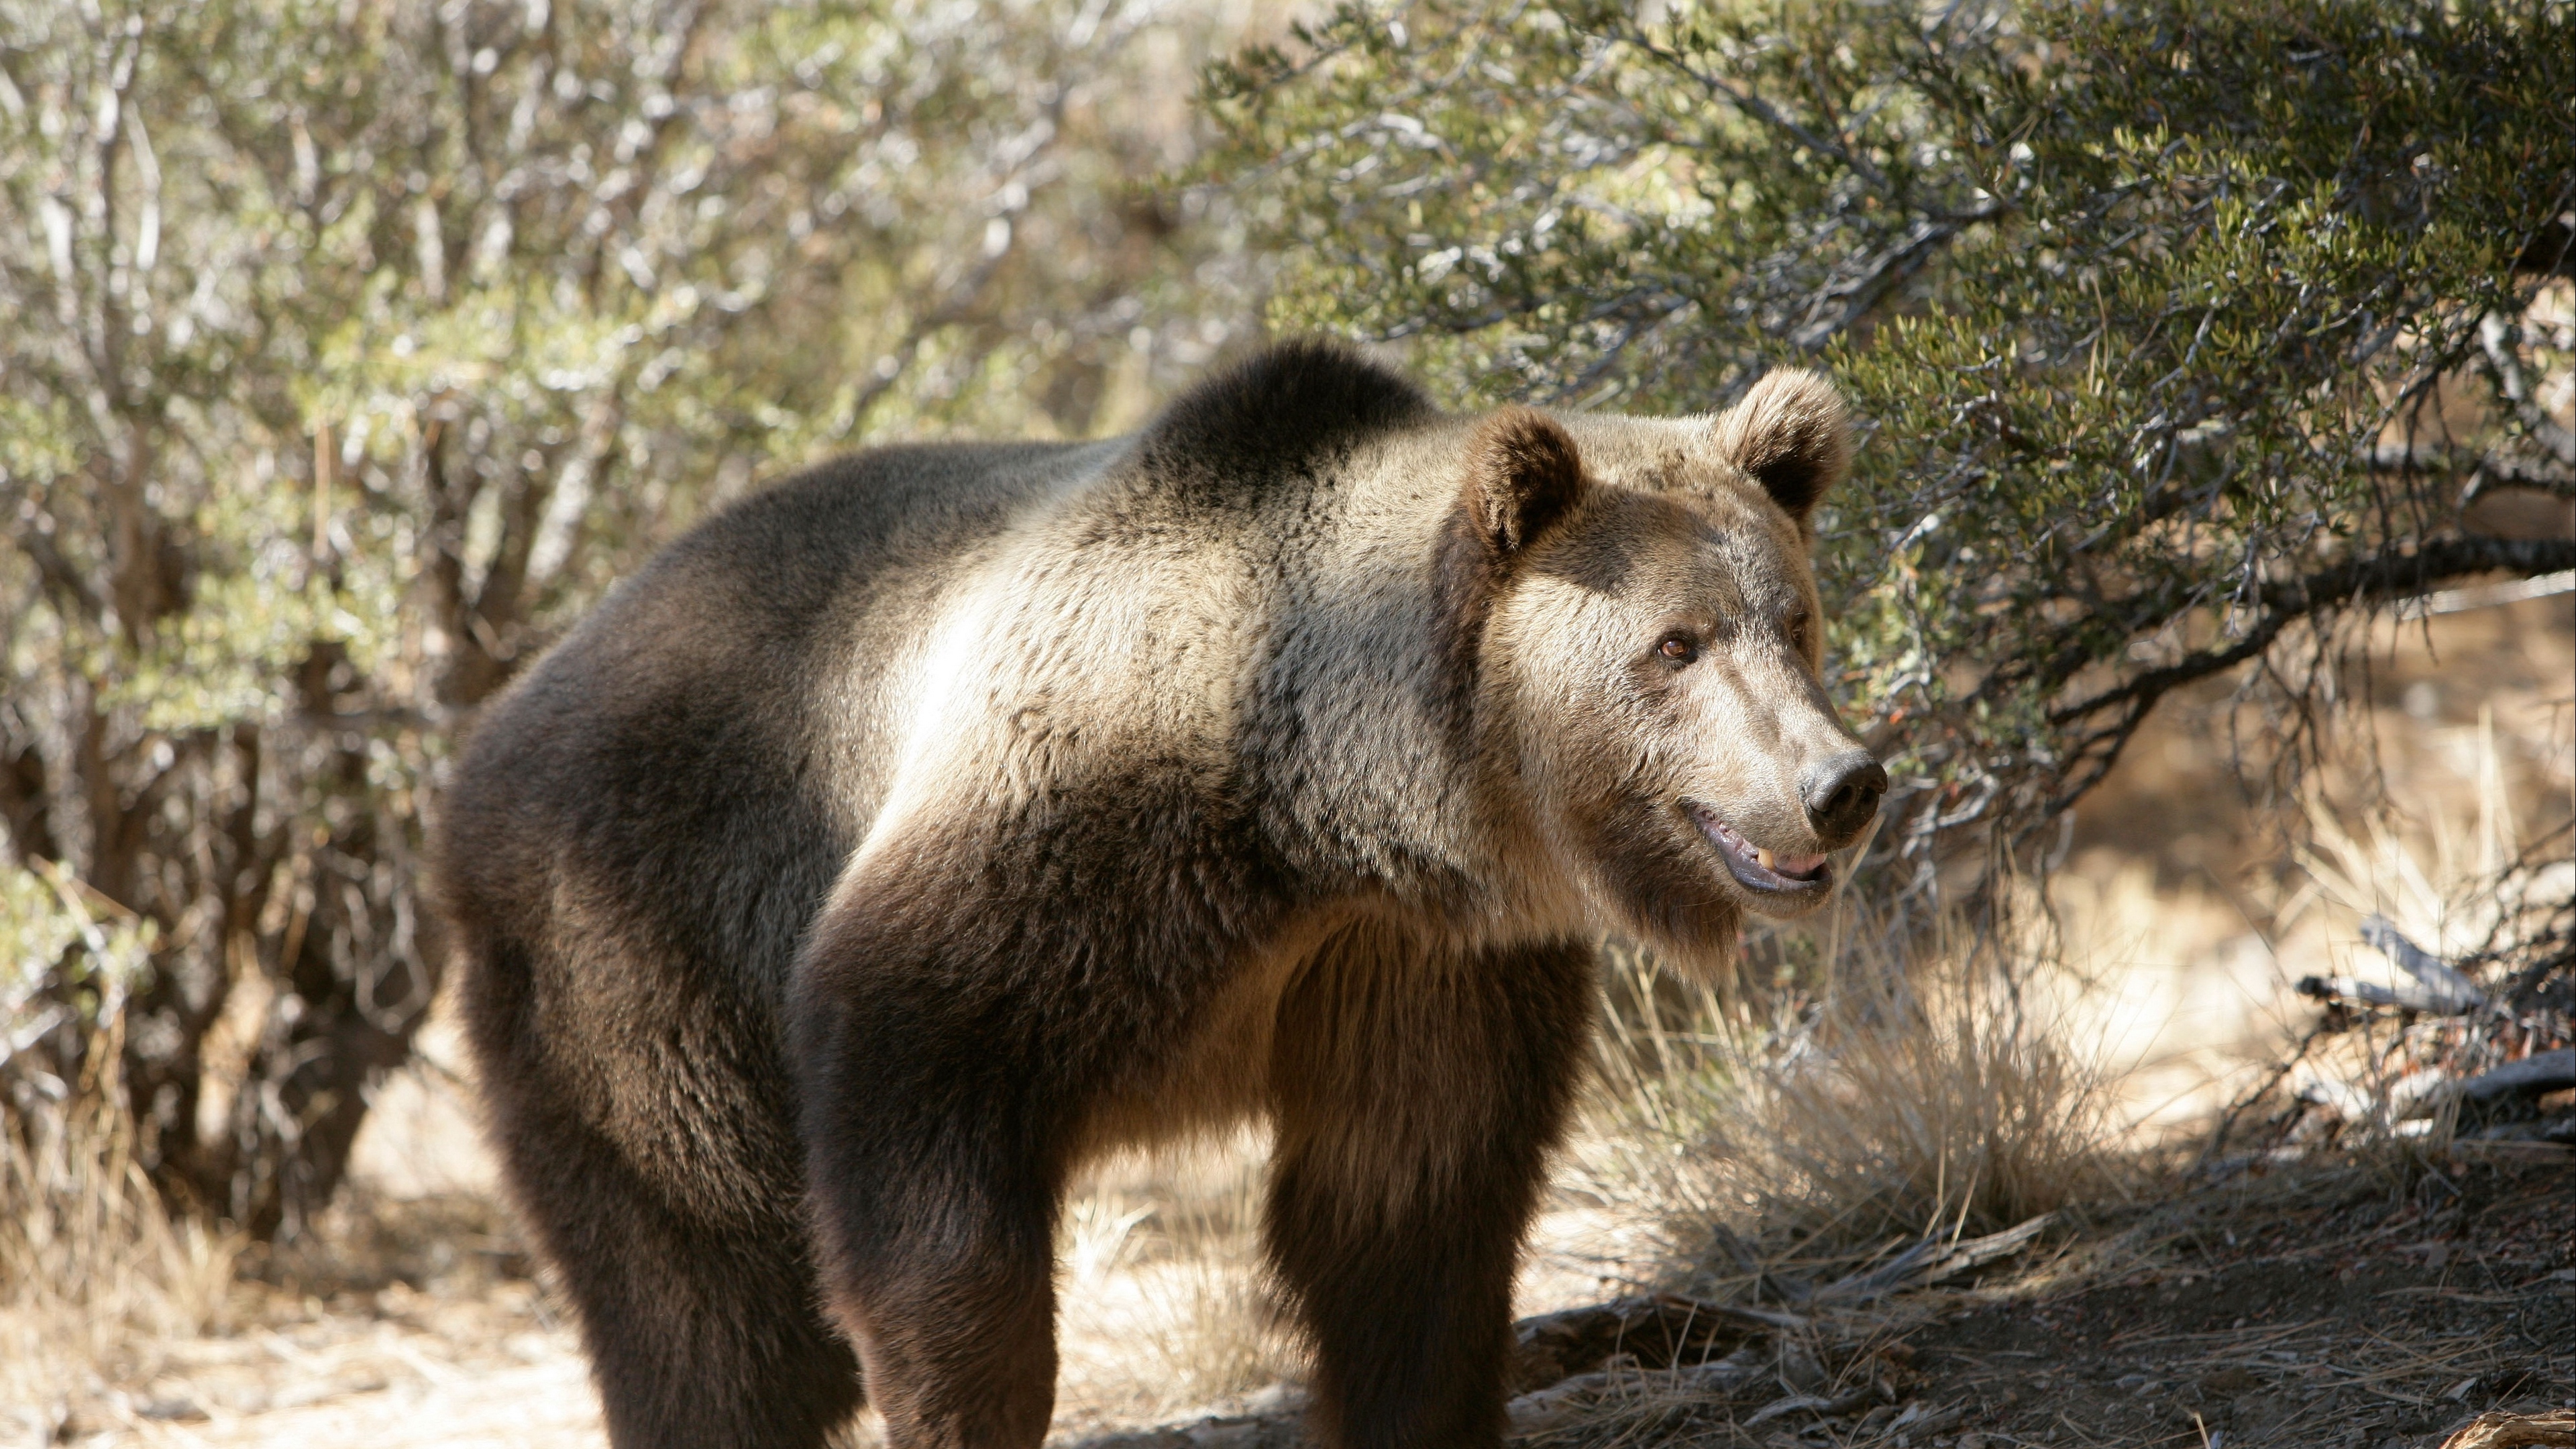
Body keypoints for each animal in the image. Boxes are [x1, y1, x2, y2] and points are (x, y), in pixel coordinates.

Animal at [433, 340, 1885, 1444]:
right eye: (1675, 645)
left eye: (1794, 618)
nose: (1839, 785)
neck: (1320, 810)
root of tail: (488, 738)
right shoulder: (1054, 862)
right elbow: (932, 1203)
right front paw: (969, 1398)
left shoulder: (1414, 963)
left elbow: (1409, 1223)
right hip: (637, 956)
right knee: (706, 1306)